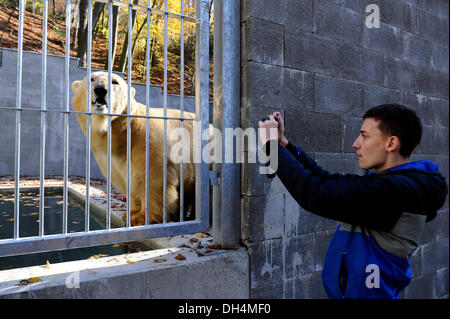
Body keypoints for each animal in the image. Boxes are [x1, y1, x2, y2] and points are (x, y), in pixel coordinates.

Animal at [70, 71, 197, 226]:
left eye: (114, 82)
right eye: (91, 79)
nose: (100, 90)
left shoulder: (148, 142)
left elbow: (152, 178)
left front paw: (144, 218)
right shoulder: (110, 157)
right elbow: (127, 180)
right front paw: (131, 213)